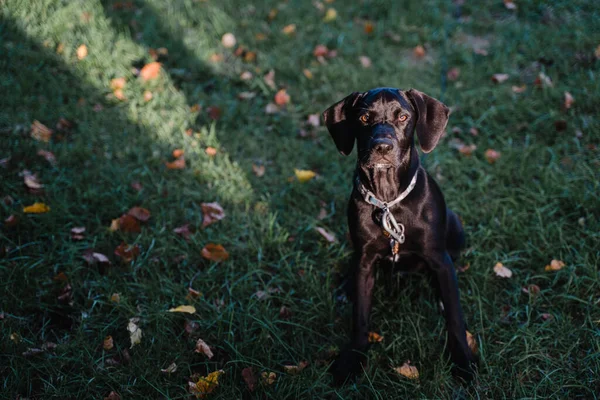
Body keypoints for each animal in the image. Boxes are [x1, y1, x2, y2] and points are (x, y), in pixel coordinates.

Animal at [324, 86, 478, 382]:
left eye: (403, 116)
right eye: (364, 118)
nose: (383, 147)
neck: (388, 202)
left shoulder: (439, 258)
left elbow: (455, 316)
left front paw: (462, 360)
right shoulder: (365, 260)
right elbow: (360, 316)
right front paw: (353, 358)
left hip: (454, 227)